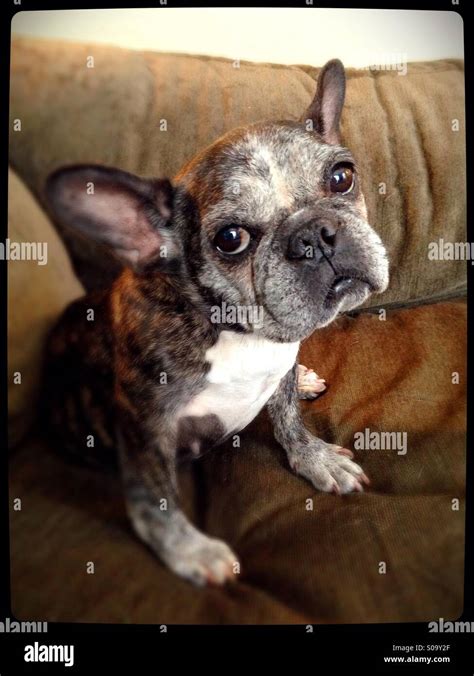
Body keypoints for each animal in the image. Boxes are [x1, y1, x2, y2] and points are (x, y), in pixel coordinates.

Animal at [43, 59, 388, 588]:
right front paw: (190, 550)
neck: (236, 331)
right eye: (231, 239)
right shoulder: (145, 429)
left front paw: (314, 457)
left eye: (341, 177)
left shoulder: (279, 367)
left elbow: (288, 419)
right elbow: (155, 501)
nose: (315, 234)